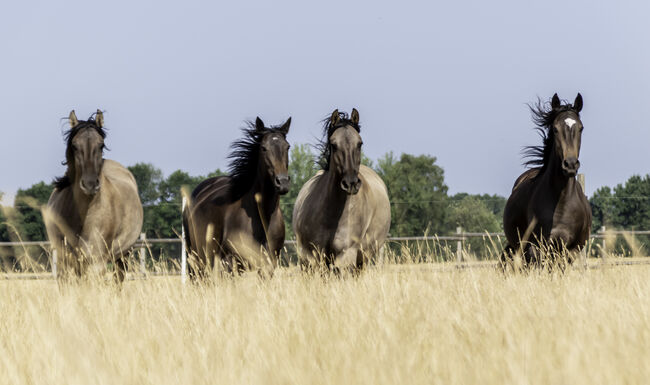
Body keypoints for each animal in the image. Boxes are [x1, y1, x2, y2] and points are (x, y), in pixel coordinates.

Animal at [44, 109, 143, 284]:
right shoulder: (65, 264)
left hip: (123, 256)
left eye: (101, 144)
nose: (90, 184)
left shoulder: (97, 263)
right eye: (75, 146)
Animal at [185, 115, 292, 278]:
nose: (282, 182)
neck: (263, 217)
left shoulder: (268, 265)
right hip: (199, 259)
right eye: (263, 148)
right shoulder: (231, 263)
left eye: (287, 147)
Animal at [292, 108, 390, 270]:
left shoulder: (345, 257)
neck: (330, 217)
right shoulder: (309, 258)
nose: (351, 183)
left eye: (360, 143)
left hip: (363, 258)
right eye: (333, 144)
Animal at [502, 92, 592, 268]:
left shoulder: (570, 251)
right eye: (555, 129)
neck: (561, 202)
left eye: (581, 128)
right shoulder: (536, 248)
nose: (570, 164)